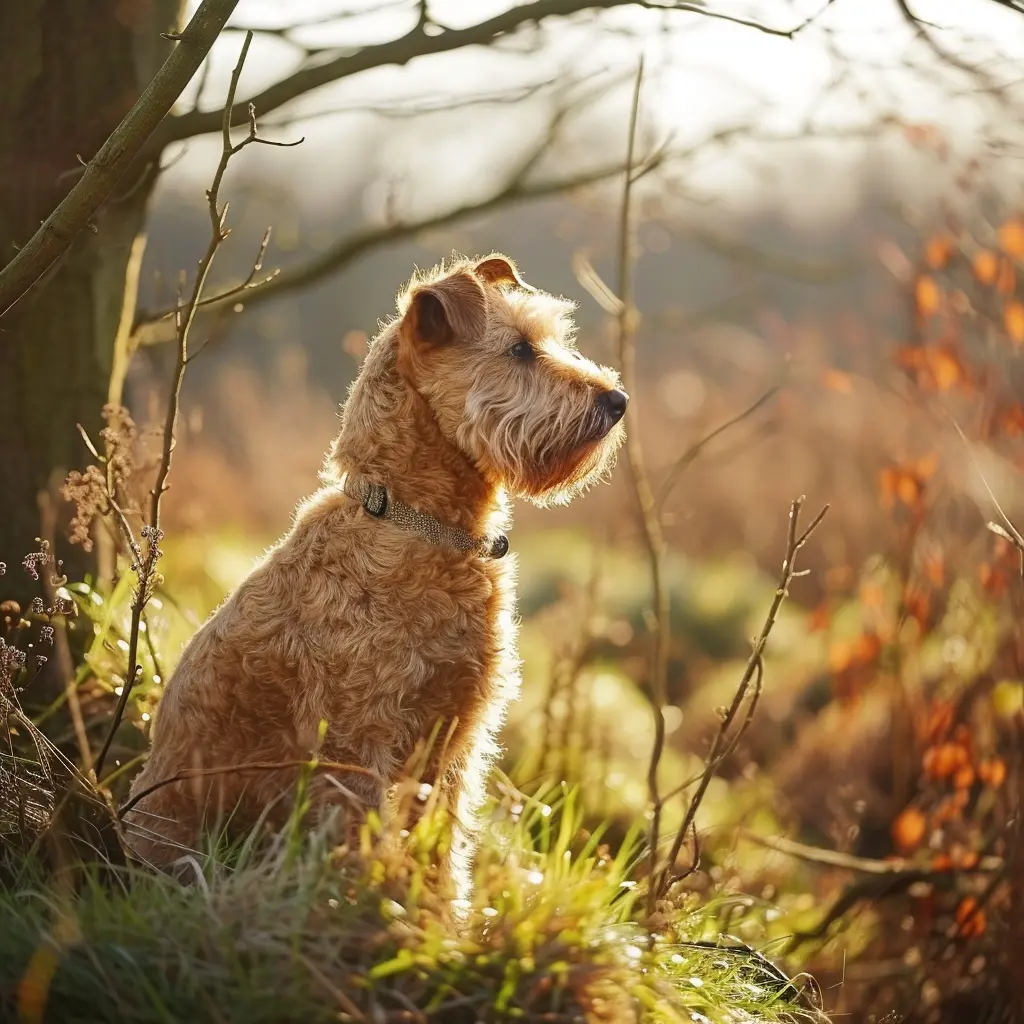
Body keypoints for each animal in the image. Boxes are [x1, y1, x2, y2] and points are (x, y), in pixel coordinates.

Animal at [123, 253, 626, 897]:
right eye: (519, 349)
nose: (618, 400)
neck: (421, 526)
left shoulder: (455, 735)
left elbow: (442, 845)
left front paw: (441, 913)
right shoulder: (357, 739)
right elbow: (363, 839)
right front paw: (374, 908)